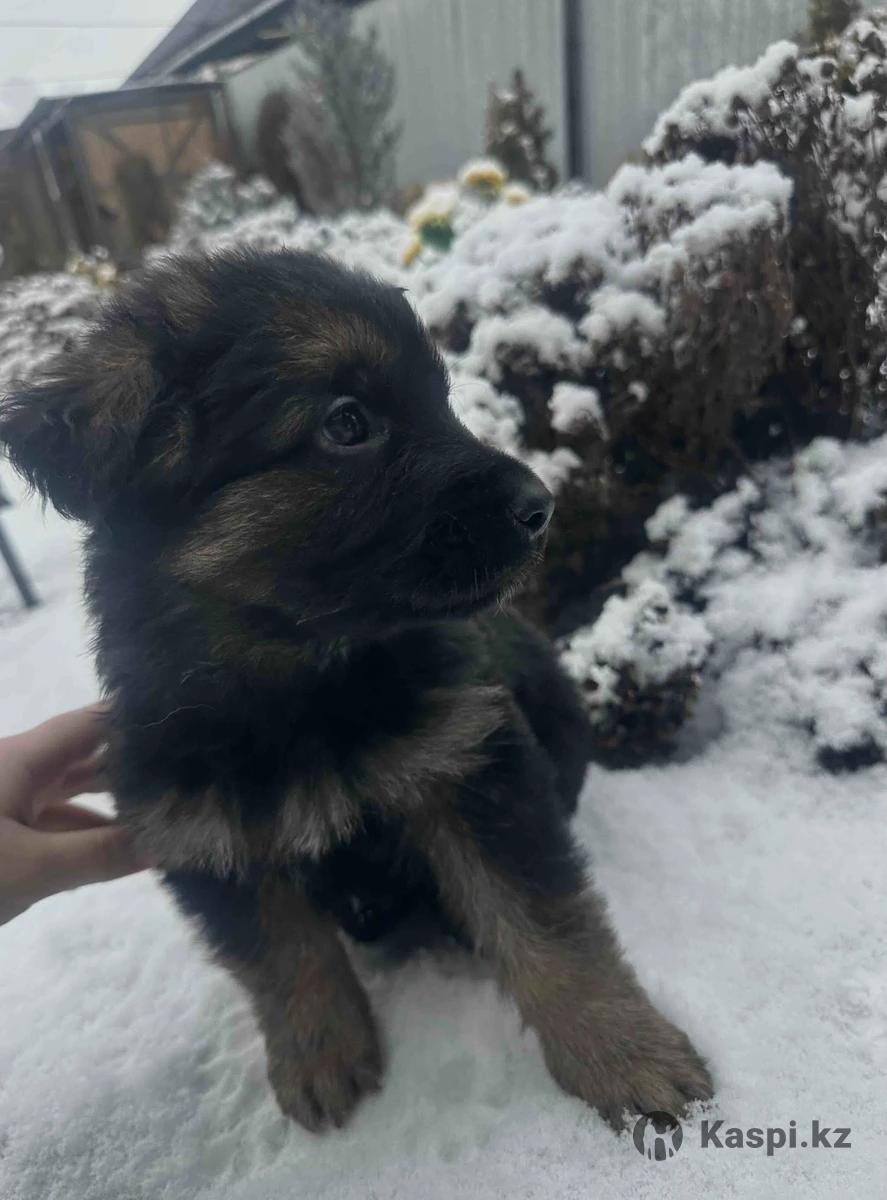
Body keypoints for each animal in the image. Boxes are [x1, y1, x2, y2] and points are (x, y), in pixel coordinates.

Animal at [0, 249, 712, 1132]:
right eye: (346, 424)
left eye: (441, 402)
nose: (541, 507)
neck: (295, 682)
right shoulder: (196, 827)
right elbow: (280, 955)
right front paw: (319, 1054)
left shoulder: (471, 763)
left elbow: (546, 921)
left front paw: (624, 1055)